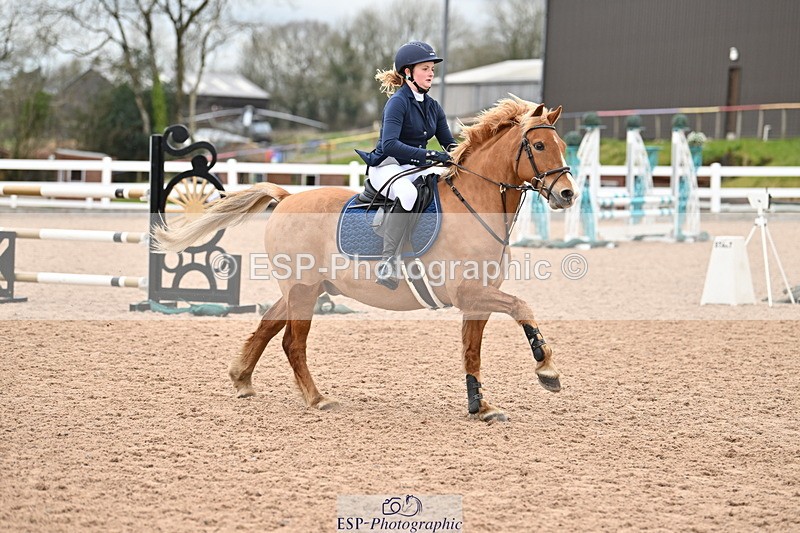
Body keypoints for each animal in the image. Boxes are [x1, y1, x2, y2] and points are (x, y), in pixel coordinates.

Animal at [155, 97, 577, 422]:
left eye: (562, 144)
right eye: (539, 147)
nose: (567, 194)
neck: (476, 204)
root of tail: (287, 196)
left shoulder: (477, 299)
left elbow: (472, 351)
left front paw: (481, 406)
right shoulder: (469, 292)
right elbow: (522, 307)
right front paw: (547, 370)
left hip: (303, 288)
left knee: (268, 324)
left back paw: (242, 379)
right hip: (304, 290)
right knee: (292, 342)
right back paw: (316, 399)